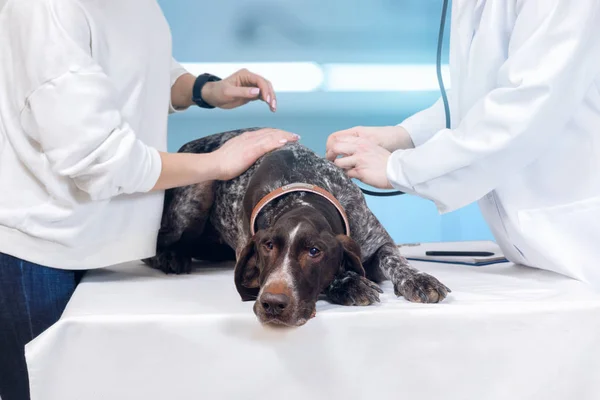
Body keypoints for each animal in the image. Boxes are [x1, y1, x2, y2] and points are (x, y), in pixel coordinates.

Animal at [143, 130, 448, 326]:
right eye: (267, 247)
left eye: (315, 251)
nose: (272, 304)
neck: (300, 190)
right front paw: (348, 283)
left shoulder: (376, 240)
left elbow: (395, 260)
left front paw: (418, 278)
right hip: (196, 191)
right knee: (155, 243)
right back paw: (170, 256)